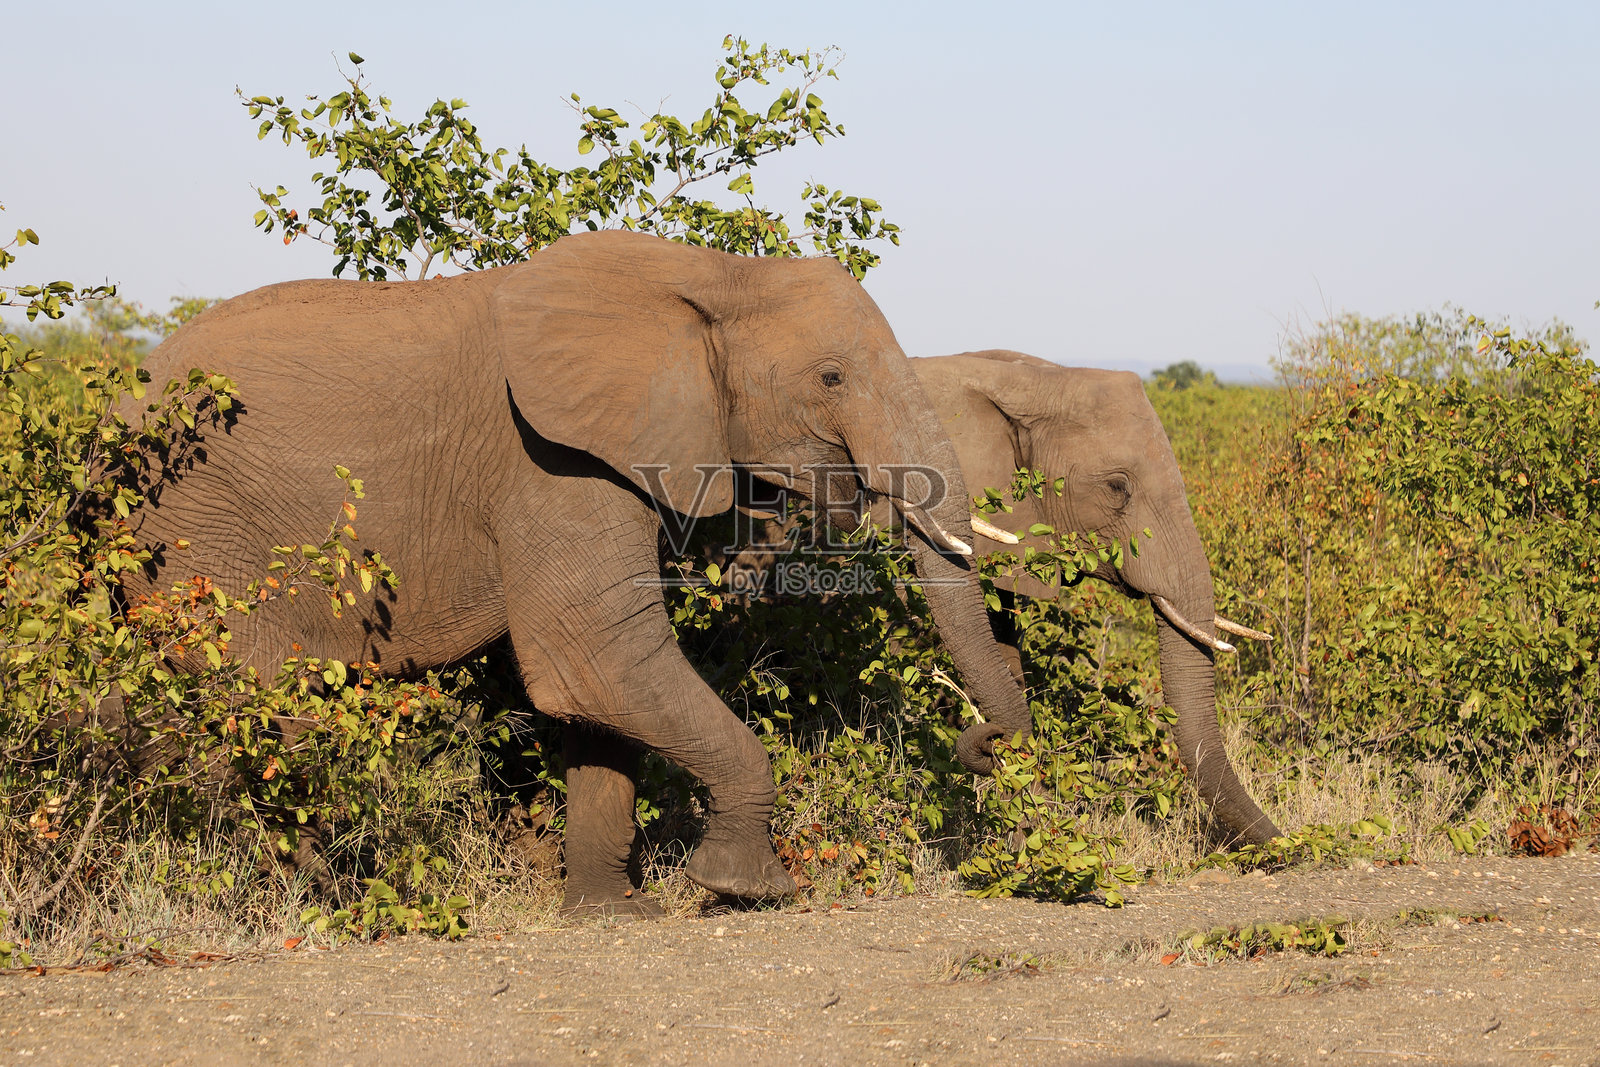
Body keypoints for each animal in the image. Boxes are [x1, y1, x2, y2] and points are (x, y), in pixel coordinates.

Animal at [107, 231, 1032, 917]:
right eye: (832, 377)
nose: (984, 745)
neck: (713, 274)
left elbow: (600, 695)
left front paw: (612, 914)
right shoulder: (550, 463)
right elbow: (594, 659)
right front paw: (746, 888)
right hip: (202, 532)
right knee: (272, 714)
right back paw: (330, 902)